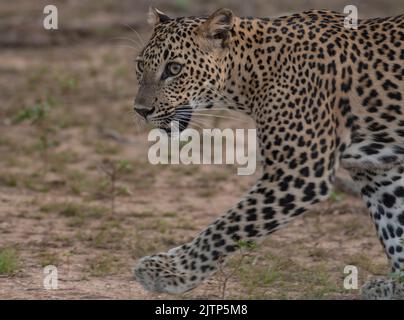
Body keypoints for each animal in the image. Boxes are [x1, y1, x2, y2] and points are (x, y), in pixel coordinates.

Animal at [132, 6, 404, 298]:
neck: (251, 70)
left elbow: (226, 228)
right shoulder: (378, 172)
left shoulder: (299, 172)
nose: (141, 110)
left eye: (174, 68)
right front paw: (396, 286)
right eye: (140, 65)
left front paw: (168, 272)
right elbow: (395, 229)